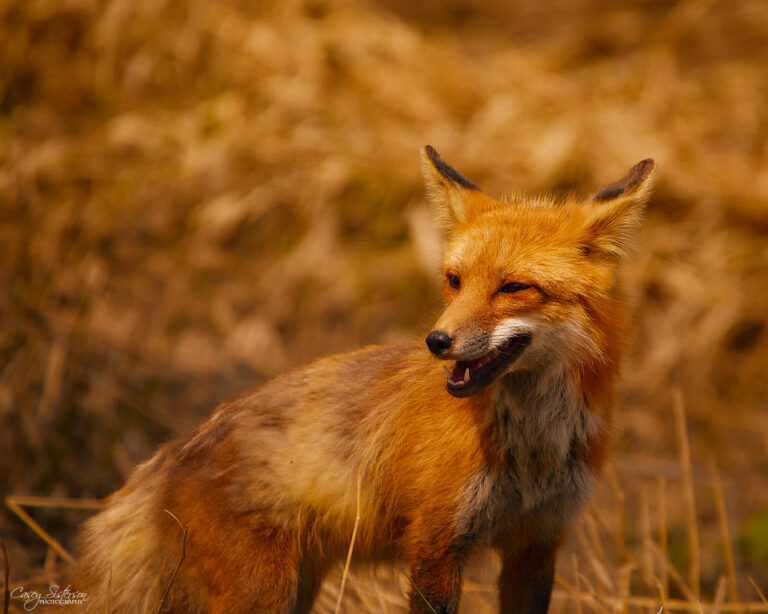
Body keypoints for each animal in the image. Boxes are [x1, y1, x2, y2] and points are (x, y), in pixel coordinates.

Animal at [71, 147, 655, 614]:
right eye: (454, 281)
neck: (533, 448)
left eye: (513, 287)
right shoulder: (435, 545)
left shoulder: (536, 543)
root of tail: (169, 454)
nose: (437, 341)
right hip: (263, 595)